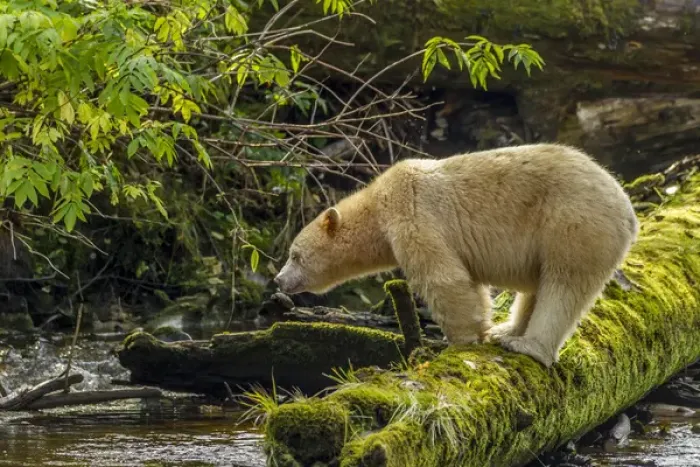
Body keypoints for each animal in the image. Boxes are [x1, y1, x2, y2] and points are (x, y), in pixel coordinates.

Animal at [274, 143, 639, 367]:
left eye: (295, 255)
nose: (278, 280)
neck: (377, 204)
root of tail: (628, 210)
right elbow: (469, 282)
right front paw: (481, 331)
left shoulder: (412, 213)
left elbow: (444, 278)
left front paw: (460, 341)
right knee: (539, 286)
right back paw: (507, 331)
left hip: (574, 222)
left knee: (564, 285)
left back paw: (528, 345)